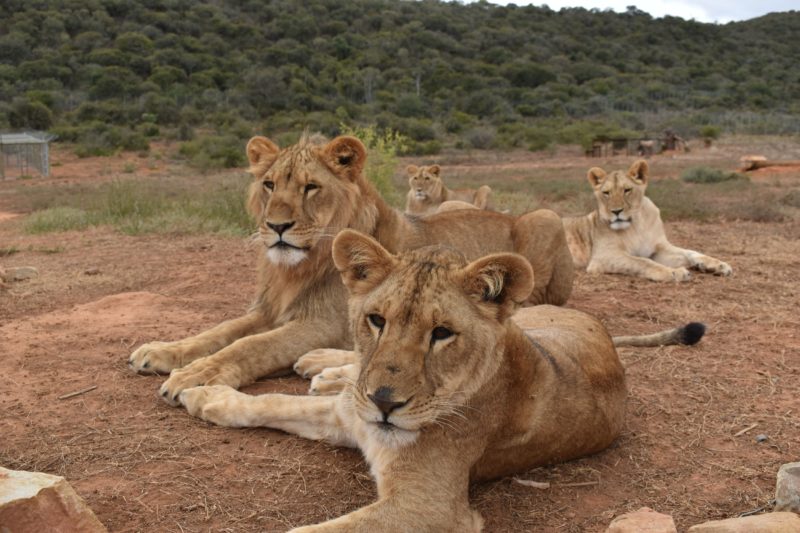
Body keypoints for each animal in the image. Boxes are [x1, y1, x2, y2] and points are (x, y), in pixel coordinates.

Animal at [126, 133, 576, 404]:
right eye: (269, 185)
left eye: (311, 187)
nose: (277, 227)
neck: (299, 268)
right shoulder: (267, 310)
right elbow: (218, 332)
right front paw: (161, 351)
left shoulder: (324, 324)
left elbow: (251, 345)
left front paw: (197, 376)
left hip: (546, 218)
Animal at [178, 231, 704, 528]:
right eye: (376, 320)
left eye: (442, 334)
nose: (383, 402)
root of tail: (604, 331)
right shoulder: (350, 418)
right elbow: (271, 403)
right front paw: (205, 396)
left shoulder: (427, 507)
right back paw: (319, 364)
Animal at [560, 159, 736, 280]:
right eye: (606, 193)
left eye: (627, 190)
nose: (616, 211)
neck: (636, 225)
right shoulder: (603, 257)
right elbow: (642, 262)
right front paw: (674, 272)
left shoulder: (657, 248)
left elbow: (690, 252)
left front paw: (718, 265)